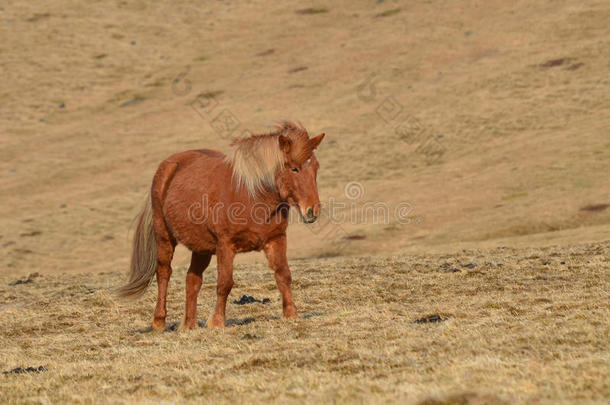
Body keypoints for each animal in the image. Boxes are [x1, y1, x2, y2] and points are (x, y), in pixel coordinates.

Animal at [117, 121, 324, 330]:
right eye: (294, 169)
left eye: (316, 167)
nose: (312, 211)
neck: (252, 194)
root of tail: (167, 166)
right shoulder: (226, 245)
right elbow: (225, 283)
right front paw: (217, 322)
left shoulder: (276, 240)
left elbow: (283, 275)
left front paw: (291, 314)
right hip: (164, 237)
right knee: (164, 273)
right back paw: (159, 321)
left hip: (201, 248)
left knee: (192, 279)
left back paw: (189, 325)